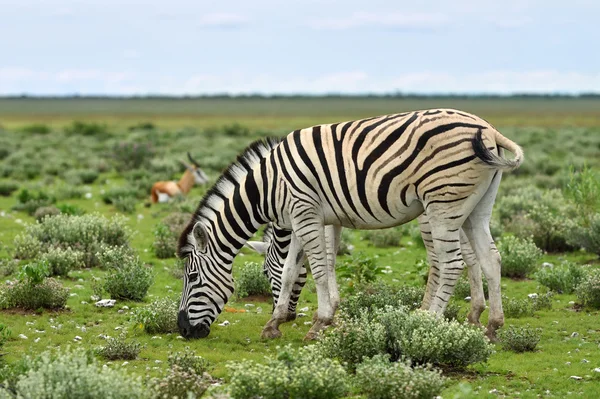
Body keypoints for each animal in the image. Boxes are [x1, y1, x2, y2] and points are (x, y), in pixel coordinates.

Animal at [176, 109, 524, 340]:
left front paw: (320, 322)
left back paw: (428, 321)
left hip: (441, 204)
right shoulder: (311, 218)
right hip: (476, 207)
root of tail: (488, 128)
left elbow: (316, 268)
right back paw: (492, 326)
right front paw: (278, 323)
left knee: (451, 263)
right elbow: (299, 268)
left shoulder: (305, 213)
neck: (267, 186)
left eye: (191, 277)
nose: (183, 329)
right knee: (490, 258)